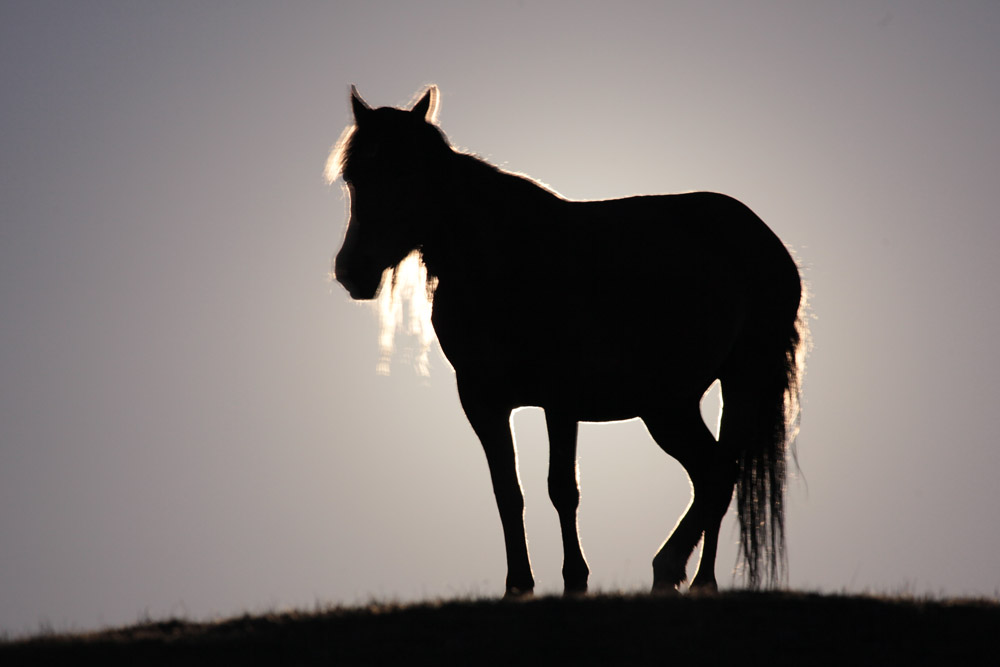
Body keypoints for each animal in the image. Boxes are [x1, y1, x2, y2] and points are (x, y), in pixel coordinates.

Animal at [332, 85, 808, 596]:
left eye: (405, 171)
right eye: (352, 177)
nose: (352, 271)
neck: (505, 265)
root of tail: (763, 238)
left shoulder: (560, 397)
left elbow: (561, 488)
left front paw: (575, 579)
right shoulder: (481, 400)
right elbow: (507, 491)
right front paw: (518, 585)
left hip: (742, 379)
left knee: (720, 475)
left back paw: (682, 573)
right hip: (668, 404)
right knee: (712, 474)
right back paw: (686, 576)